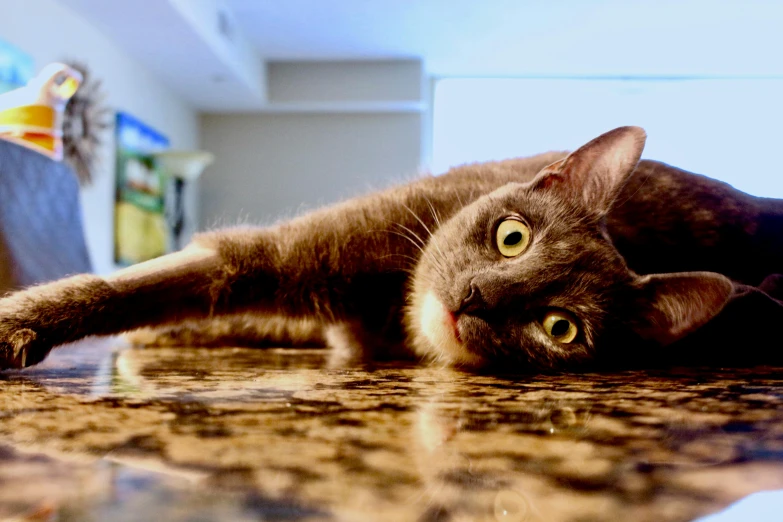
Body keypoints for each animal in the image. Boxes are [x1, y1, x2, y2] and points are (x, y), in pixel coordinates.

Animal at [1, 125, 783, 370]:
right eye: (511, 237)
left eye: (559, 328)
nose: (476, 298)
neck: (388, 309)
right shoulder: (293, 263)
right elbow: (154, 290)